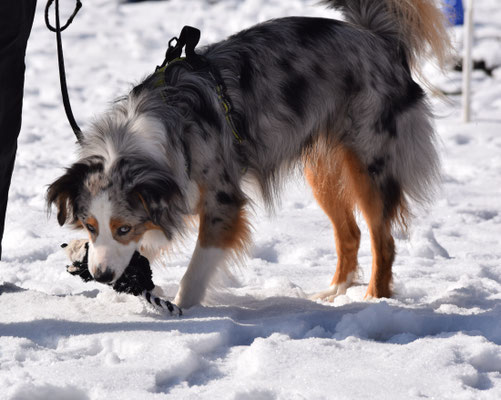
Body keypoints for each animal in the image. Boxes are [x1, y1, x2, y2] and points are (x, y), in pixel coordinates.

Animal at [48, 0, 452, 310]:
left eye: (123, 227)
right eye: (90, 225)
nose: (101, 276)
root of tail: (379, 38)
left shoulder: (222, 199)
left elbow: (198, 266)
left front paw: (182, 309)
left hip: (370, 161)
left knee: (383, 239)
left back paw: (373, 300)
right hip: (323, 168)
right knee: (349, 231)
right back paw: (333, 293)